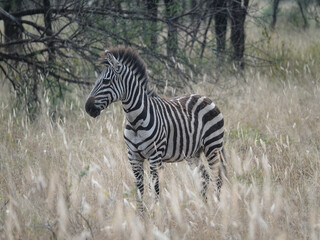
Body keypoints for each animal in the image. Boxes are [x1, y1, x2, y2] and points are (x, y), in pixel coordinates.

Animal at [85, 47, 225, 210]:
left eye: (106, 81)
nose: (87, 107)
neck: (135, 122)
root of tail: (205, 97)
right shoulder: (133, 156)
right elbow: (139, 187)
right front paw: (141, 214)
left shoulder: (155, 156)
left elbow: (156, 187)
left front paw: (156, 212)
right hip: (193, 153)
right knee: (204, 176)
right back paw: (204, 207)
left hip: (212, 146)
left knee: (217, 176)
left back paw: (218, 207)